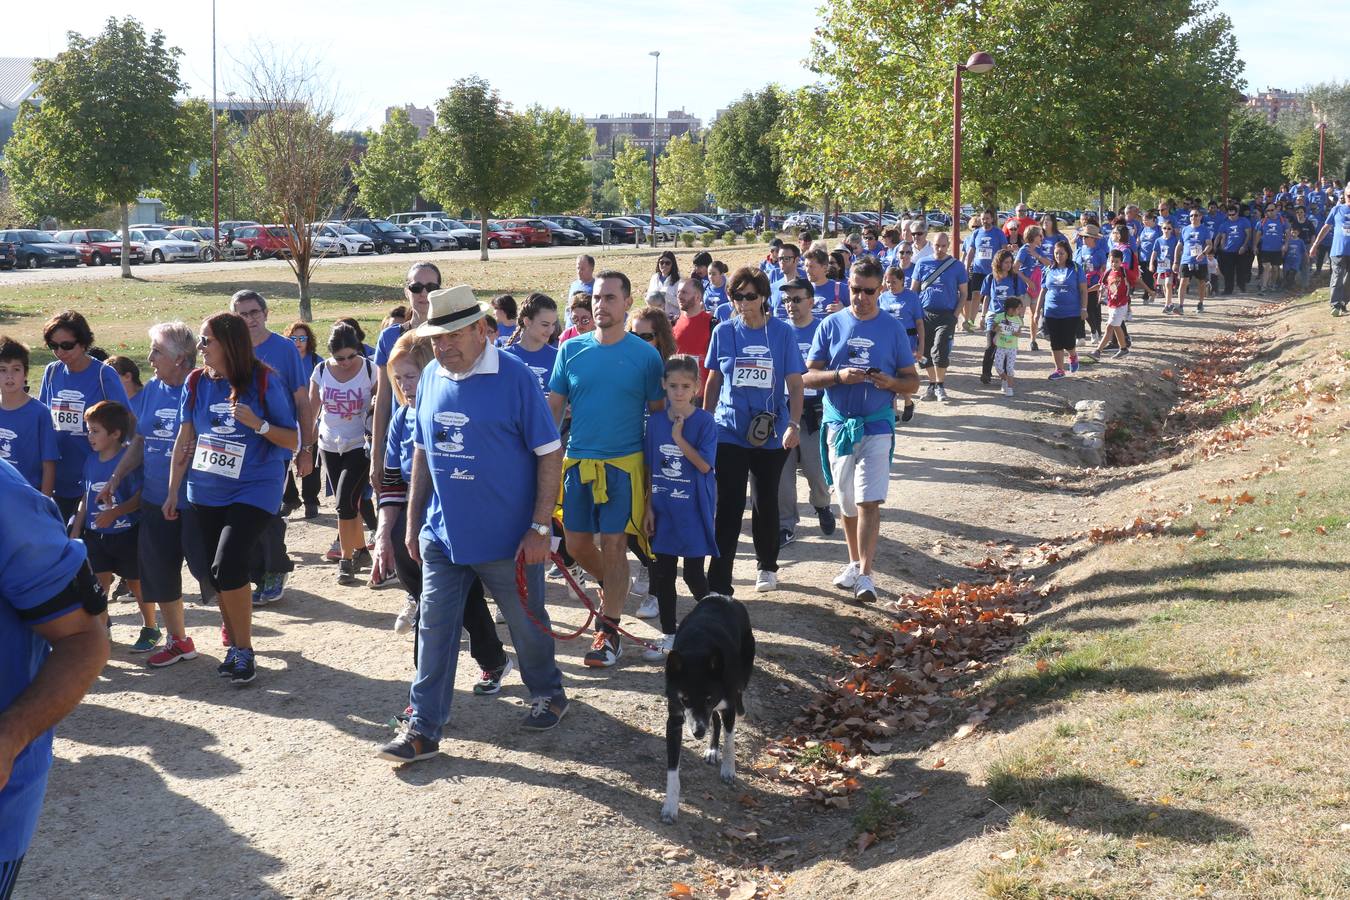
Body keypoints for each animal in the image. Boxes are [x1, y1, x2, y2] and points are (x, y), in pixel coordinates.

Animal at [661, 593, 756, 825]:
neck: (697, 650)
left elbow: (730, 742)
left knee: (737, 700)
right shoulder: (675, 719)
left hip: (745, 667)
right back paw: (713, 750)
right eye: (684, 699)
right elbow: (672, 769)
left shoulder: (725, 705)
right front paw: (670, 807)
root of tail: (721, 596)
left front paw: (728, 770)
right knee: (715, 720)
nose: (698, 732)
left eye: (708, 698)